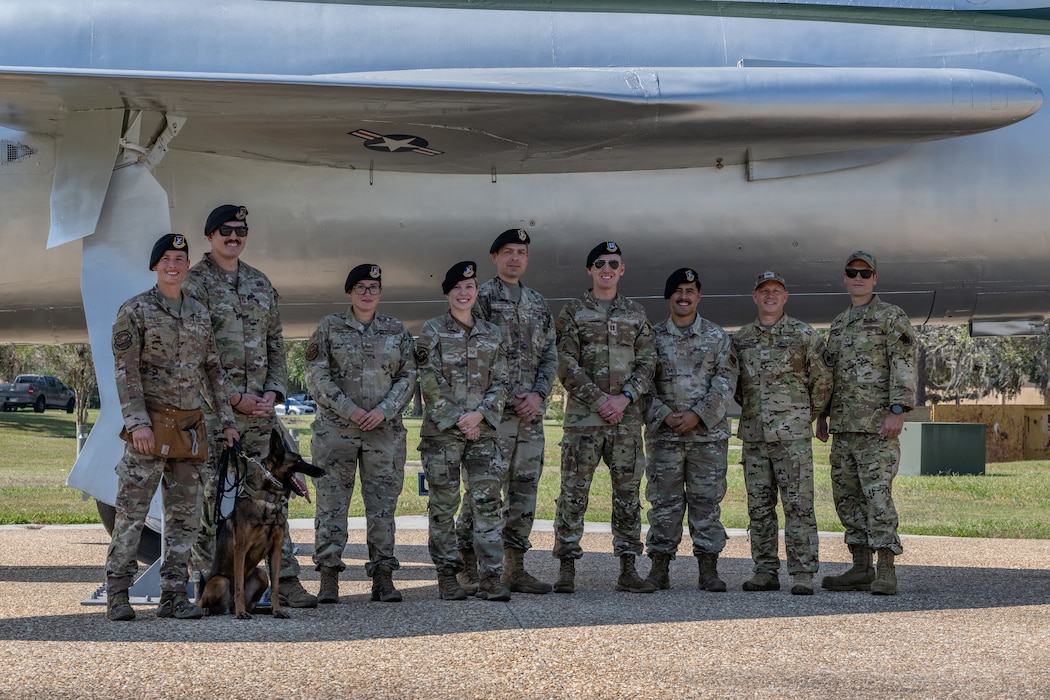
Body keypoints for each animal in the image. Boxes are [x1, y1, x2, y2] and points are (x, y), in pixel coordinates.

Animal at [197, 430, 323, 621]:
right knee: (204, 601)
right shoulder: (240, 549)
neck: (268, 501)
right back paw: (213, 609)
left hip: (261, 574)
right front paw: (241, 613)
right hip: (220, 581)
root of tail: (228, 607)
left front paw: (277, 610)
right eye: (299, 460)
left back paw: (253, 608)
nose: (322, 471)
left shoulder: (276, 549)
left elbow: (276, 586)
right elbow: (239, 587)